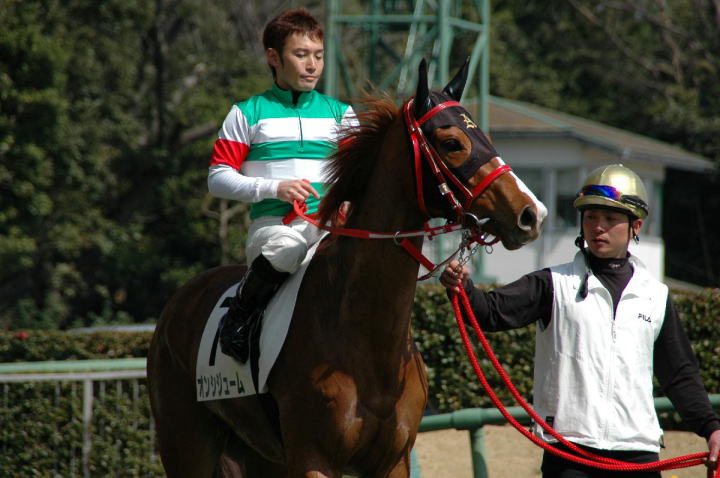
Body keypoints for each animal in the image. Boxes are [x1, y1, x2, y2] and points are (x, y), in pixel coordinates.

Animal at [147, 59, 546, 478]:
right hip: (187, 447)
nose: (531, 214)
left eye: (485, 136)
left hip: (259, 457)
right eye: (453, 142)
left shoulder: (393, 461)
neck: (365, 335)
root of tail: (179, 301)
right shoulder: (314, 459)